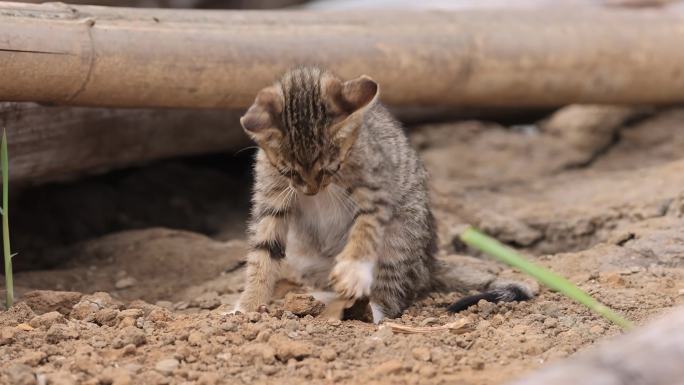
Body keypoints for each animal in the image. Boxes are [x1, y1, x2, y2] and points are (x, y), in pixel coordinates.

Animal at [235, 67, 528, 320]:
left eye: (331, 168)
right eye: (289, 172)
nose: (311, 190)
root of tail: (429, 264)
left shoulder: (376, 189)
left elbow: (365, 228)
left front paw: (354, 270)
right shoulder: (271, 200)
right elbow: (263, 252)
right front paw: (248, 306)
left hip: (399, 237)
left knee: (390, 298)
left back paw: (367, 308)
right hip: (303, 252)